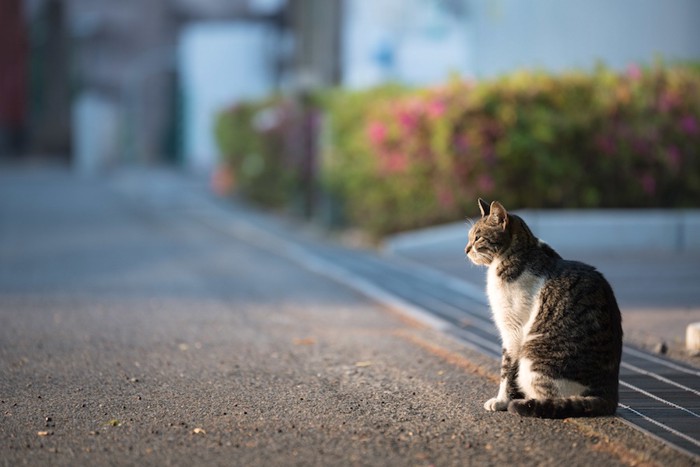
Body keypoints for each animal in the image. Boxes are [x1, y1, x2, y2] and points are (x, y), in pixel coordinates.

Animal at [464, 199, 624, 418]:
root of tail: (609, 394)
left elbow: (507, 371)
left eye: (478, 237)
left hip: (532, 358)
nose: (466, 249)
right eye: (469, 237)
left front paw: (502, 401)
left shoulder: (514, 332)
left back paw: (526, 403)